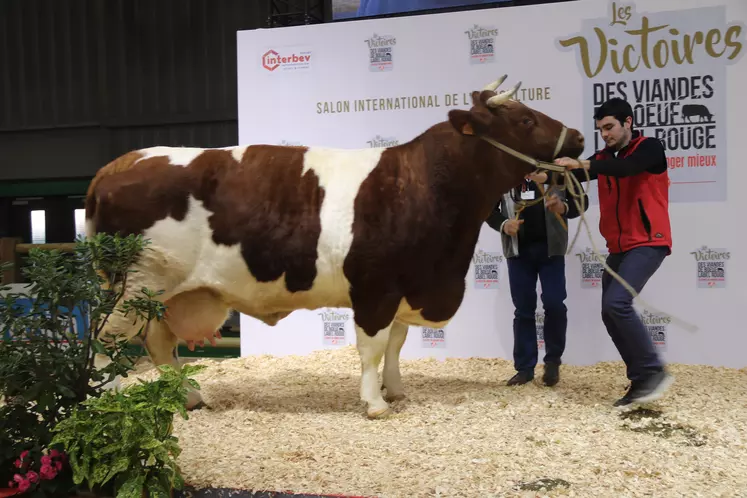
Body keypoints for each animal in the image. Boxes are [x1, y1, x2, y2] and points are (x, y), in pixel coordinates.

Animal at [83, 77, 584, 420]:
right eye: (524, 120)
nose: (579, 137)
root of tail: (115, 166)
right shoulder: (375, 289)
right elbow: (372, 347)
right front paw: (374, 404)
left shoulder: (403, 286)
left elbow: (396, 345)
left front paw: (396, 391)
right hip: (132, 288)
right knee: (106, 342)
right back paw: (106, 402)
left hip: (165, 294)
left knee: (159, 344)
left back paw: (187, 398)